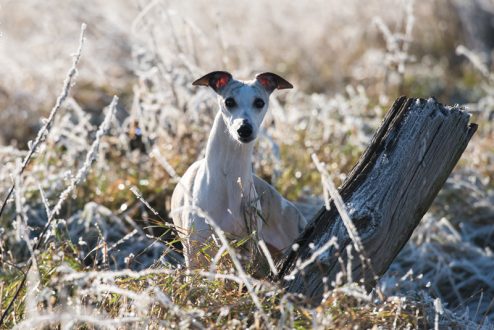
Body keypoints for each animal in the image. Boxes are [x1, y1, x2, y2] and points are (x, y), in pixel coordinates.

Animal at [172, 71, 306, 266]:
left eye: (259, 102)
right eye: (229, 101)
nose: (244, 129)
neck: (228, 176)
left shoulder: (246, 248)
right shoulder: (196, 252)